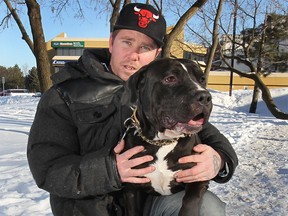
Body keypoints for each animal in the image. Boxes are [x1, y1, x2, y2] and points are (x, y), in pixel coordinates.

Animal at [120, 57, 213, 216]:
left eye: (202, 79)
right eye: (170, 78)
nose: (205, 97)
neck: (163, 141)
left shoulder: (199, 176)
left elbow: (190, 200)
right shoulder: (132, 186)